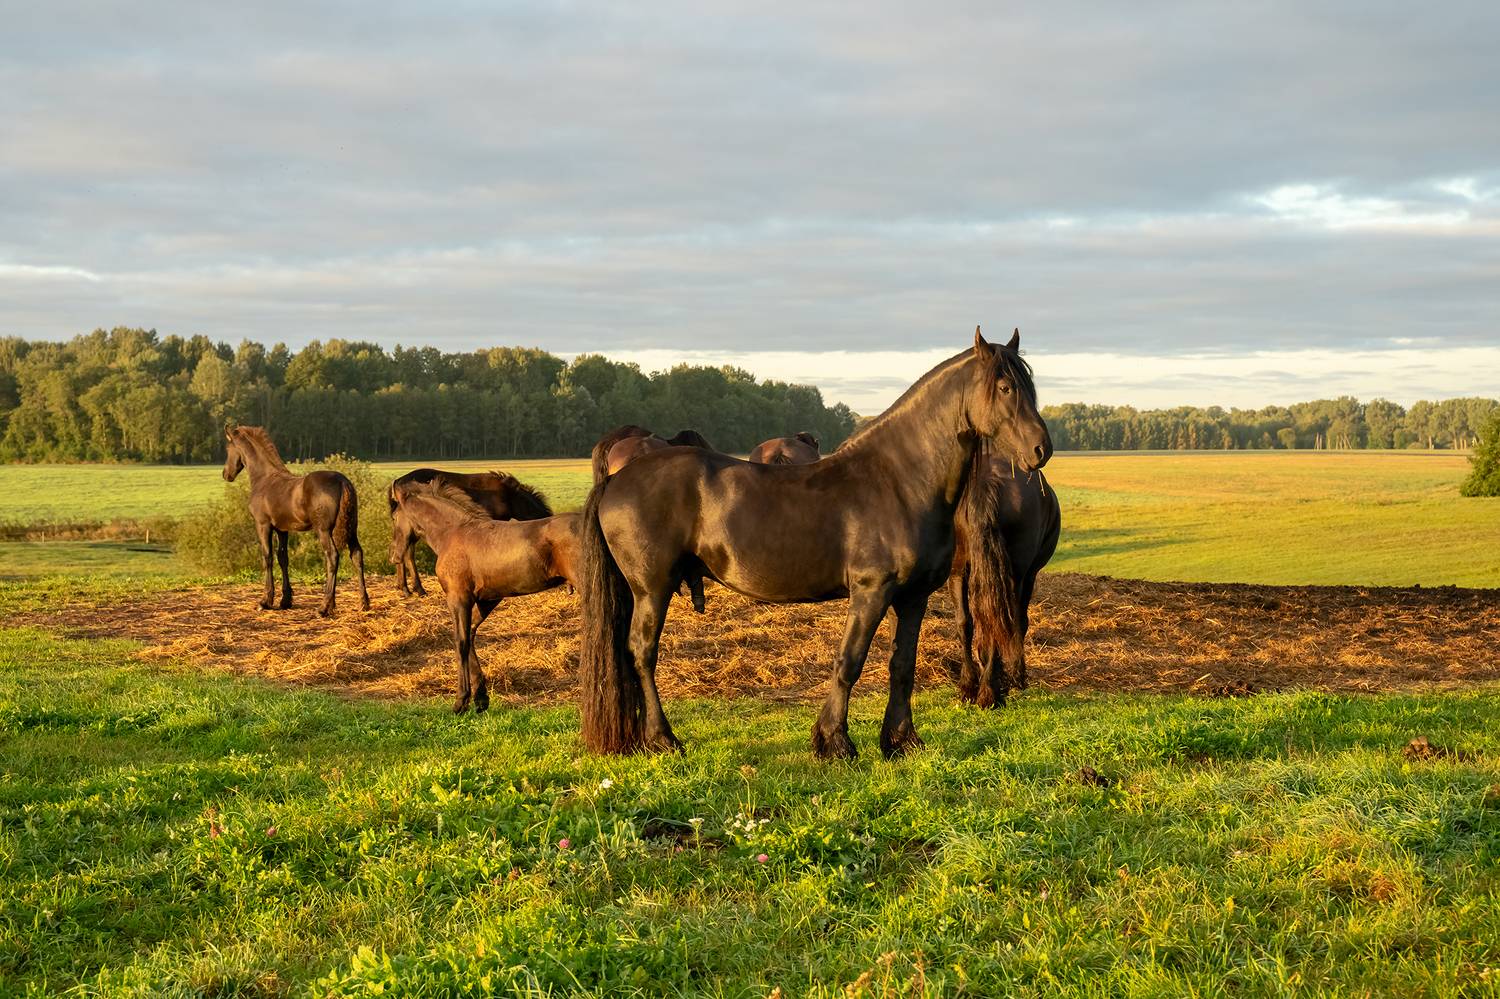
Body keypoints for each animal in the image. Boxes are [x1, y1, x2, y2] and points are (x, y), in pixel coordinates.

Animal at [221, 425, 370, 617]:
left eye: (228, 449)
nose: (226, 474)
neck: (265, 479)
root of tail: (342, 481)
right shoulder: (282, 529)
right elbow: (283, 558)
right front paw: (285, 600)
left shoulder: (263, 525)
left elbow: (267, 557)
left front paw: (265, 601)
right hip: (351, 528)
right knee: (357, 555)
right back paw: (363, 603)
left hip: (323, 530)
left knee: (332, 556)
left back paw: (324, 607)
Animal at [387, 468, 553, 597]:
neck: (508, 495)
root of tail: (397, 482)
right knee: (406, 552)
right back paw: (414, 589)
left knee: (402, 551)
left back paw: (406, 588)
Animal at [389, 480, 579, 713]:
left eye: (394, 517)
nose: (394, 556)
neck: (452, 533)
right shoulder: (487, 599)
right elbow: (470, 636)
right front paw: (480, 699)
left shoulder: (458, 598)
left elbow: (460, 641)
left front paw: (461, 701)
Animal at [948, 461, 1060, 708]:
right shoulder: (1029, 576)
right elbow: (1020, 622)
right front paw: (1016, 676)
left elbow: (967, 622)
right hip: (1018, 575)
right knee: (1006, 621)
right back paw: (991, 691)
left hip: (958, 571)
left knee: (967, 622)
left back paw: (971, 685)